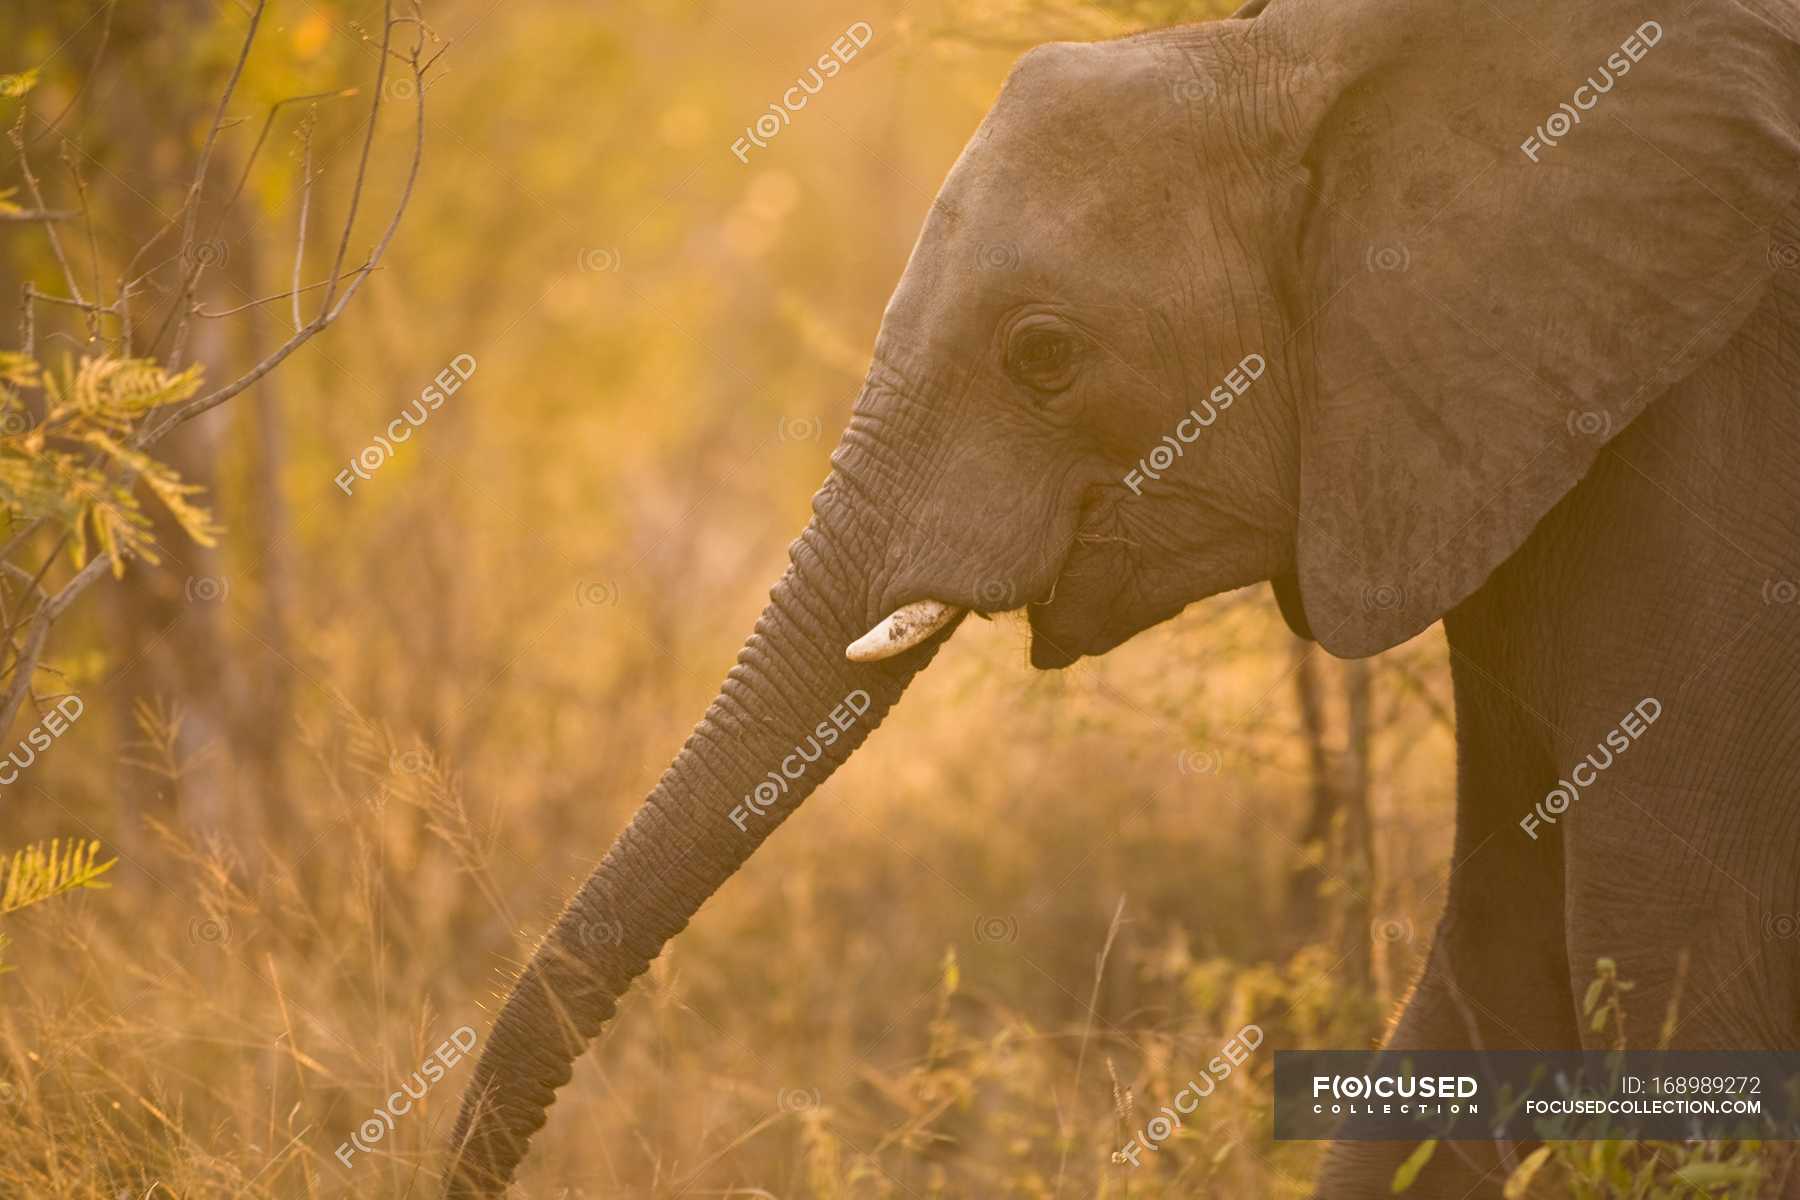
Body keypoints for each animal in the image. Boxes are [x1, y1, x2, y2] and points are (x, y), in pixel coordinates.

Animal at [446, 0, 1800, 1194]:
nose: (460, 1171)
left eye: (1044, 354)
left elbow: (1671, 985)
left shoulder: (1719, 452)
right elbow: (1487, 979)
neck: (1320, 60)